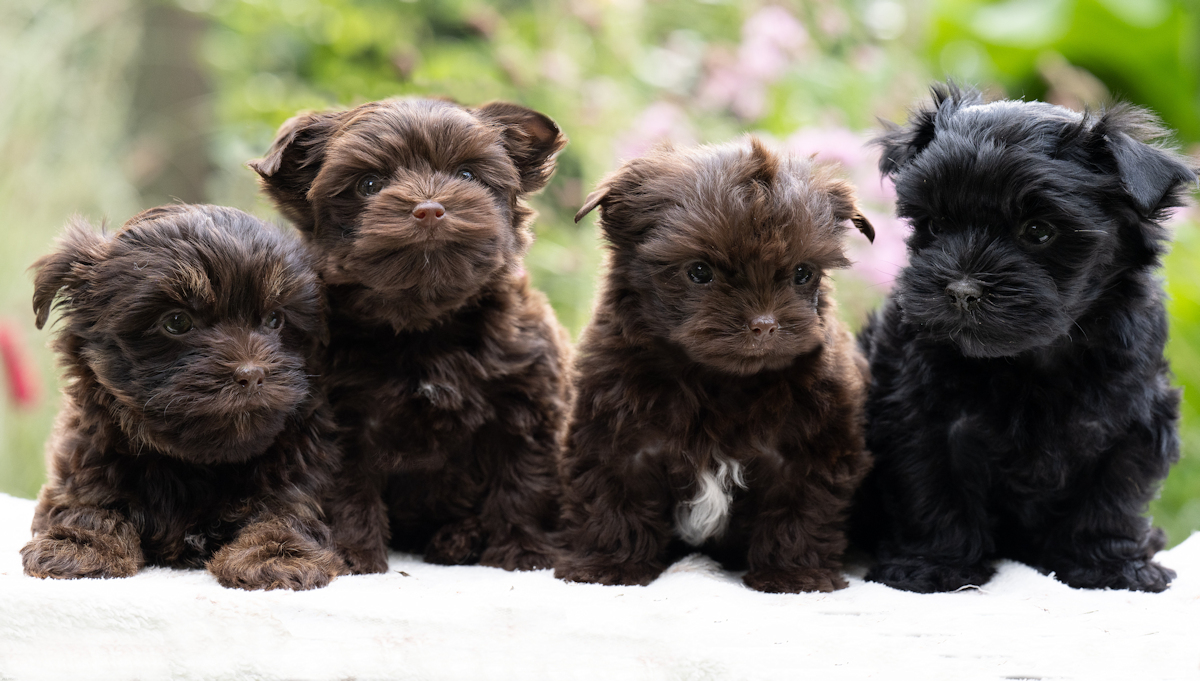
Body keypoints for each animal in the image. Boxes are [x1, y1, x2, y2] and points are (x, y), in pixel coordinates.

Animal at [22, 204, 344, 590]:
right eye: (176, 322)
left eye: (274, 320)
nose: (251, 374)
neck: (195, 462)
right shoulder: (85, 451)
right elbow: (83, 499)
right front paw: (79, 544)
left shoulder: (299, 464)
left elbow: (288, 508)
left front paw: (275, 554)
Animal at [249, 98, 572, 573]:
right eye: (369, 184)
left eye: (467, 175)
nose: (429, 209)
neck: (424, 324)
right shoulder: (341, 417)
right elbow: (347, 488)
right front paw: (353, 554)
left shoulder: (524, 406)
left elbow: (523, 482)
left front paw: (522, 552)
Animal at [554, 138, 875, 593]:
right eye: (699, 272)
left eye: (802, 273)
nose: (764, 324)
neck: (719, 380)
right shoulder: (615, 438)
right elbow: (613, 497)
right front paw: (608, 566)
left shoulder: (809, 450)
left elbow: (800, 508)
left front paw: (794, 574)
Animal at [859, 83, 1196, 593]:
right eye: (936, 225)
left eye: (1038, 231)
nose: (961, 290)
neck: (1031, 357)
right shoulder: (919, 416)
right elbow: (933, 486)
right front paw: (933, 565)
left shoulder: (1133, 421)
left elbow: (1114, 493)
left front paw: (1112, 566)